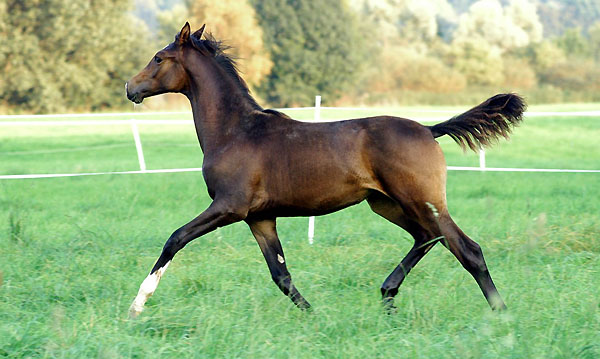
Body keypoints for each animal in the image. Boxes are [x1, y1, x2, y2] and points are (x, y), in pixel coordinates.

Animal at [124, 22, 524, 318]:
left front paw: (137, 305)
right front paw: (315, 315)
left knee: (467, 249)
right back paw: (387, 295)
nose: (130, 87)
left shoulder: (228, 207)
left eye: (158, 58)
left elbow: (175, 238)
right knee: (427, 237)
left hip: (421, 201)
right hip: (387, 204)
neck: (235, 130)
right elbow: (281, 274)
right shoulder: (260, 218)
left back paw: (501, 314)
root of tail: (429, 129)